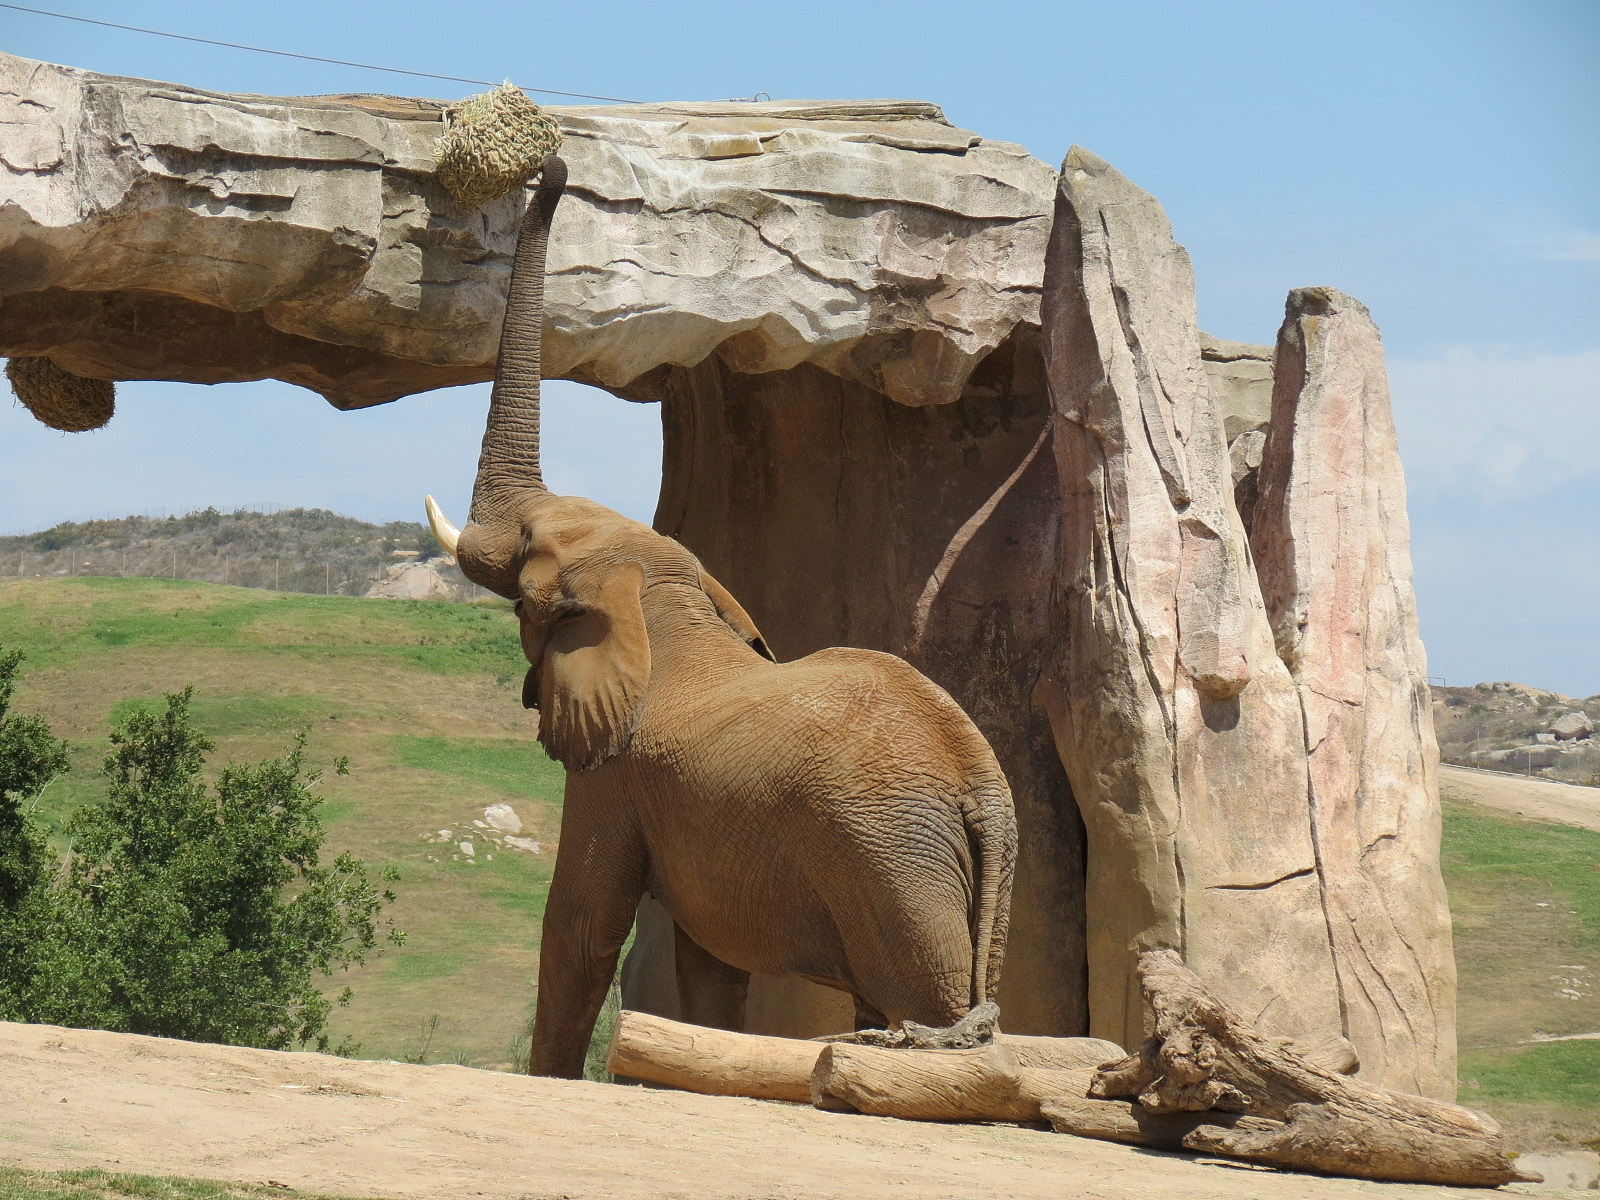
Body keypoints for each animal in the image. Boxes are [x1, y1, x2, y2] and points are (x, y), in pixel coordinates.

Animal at [424, 153, 1018, 1079]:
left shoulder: (615, 773)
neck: (659, 595)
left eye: (525, 585)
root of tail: (982, 789)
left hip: (894, 861)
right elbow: (705, 962)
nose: (553, 165)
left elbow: (583, 925)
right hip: (953, 874)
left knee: (922, 1000)